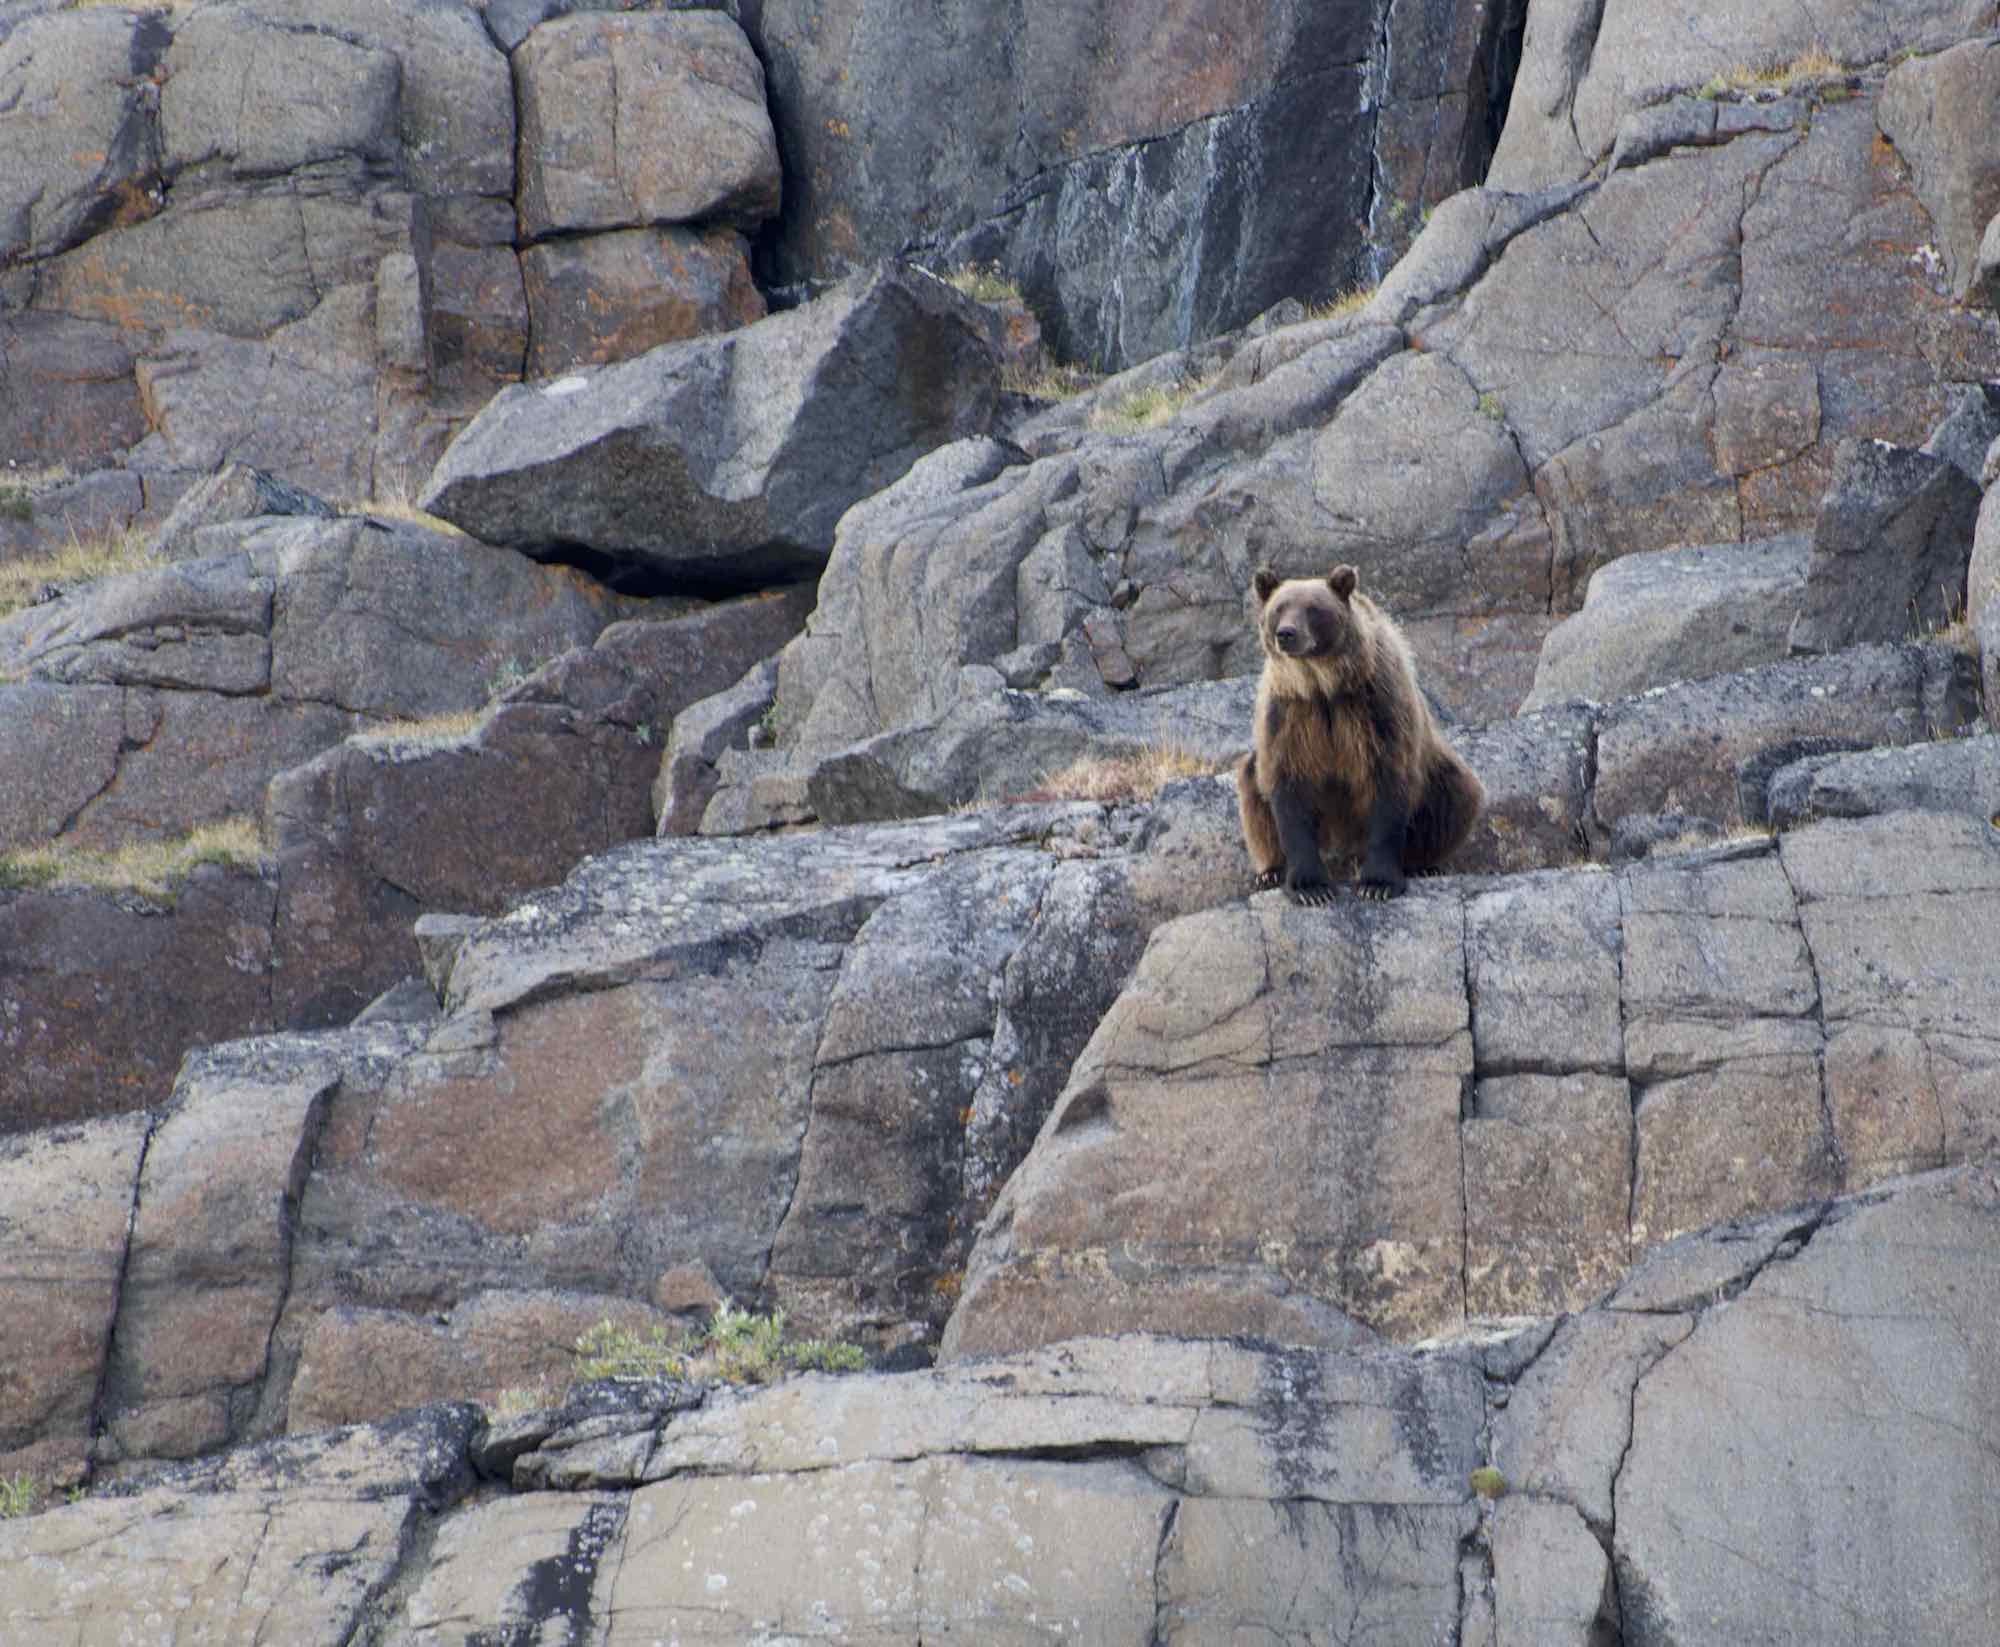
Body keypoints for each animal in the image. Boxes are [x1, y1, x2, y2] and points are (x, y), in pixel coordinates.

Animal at [1232, 563, 1488, 899]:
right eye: (1279, 608)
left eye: (1313, 608)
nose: (1286, 634)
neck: (1322, 685)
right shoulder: (1289, 716)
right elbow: (1287, 791)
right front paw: (1310, 887)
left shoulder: (1376, 708)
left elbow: (1388, 784)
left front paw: (1377, 883)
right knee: (1252, 786)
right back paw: (1270, 871)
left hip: (1434, 771)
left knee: (1454, 793)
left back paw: (1423, 864)